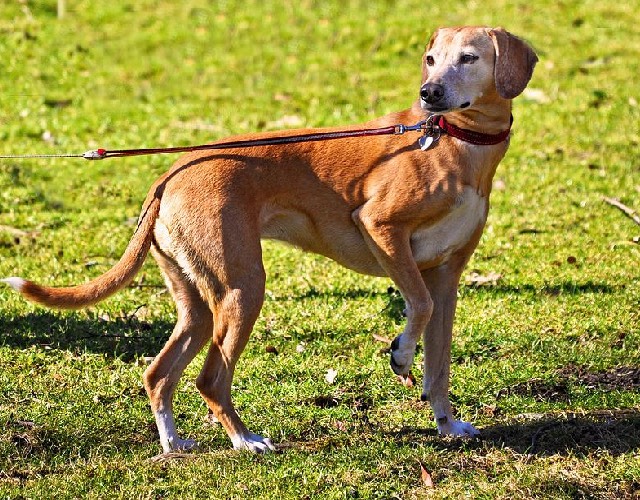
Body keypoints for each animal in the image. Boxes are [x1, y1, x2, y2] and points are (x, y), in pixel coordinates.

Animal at [3, 26, 536, 454]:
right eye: (430, 58)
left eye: (468, 57)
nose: (430, 93)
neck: (454, 142)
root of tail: (171, 173)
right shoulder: (382, 228)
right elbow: (417, 309)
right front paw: (401, 352)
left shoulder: (447, 278)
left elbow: (439, 362)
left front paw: (447, 424)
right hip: (243, 290)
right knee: (210, 380)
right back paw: (245, 441)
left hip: (200, 304)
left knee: (158, 374)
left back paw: (174, 444)